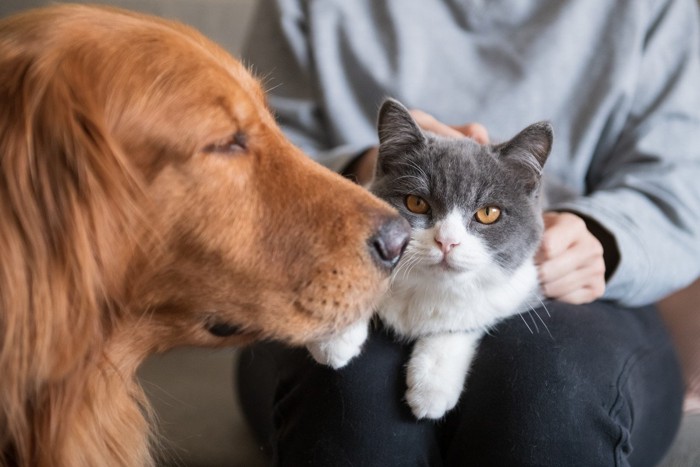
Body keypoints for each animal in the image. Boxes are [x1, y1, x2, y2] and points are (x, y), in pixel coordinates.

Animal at [306, 98, 552, 420]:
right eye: (416, 203)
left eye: (488, 213)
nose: (446, 241)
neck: (427, 287)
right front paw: (334, 339)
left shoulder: (518, 289)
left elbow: (463, 322)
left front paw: (432, 386)